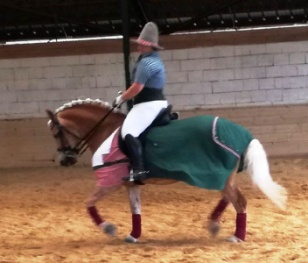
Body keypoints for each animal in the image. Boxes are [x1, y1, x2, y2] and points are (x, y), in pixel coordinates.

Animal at [45, 98, 286, 244]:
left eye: (56, 133)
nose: (65, 160)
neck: (106, 131)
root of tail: (241, 133)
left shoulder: (110, 181)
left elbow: (89, 203)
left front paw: (108, 228)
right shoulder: (130, 183)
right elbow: (136, 210)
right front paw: (133, 235)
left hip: (221, 176)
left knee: (239, 202)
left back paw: (237, 236)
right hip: (225, 176)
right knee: (231, 199)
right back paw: (214, 224)